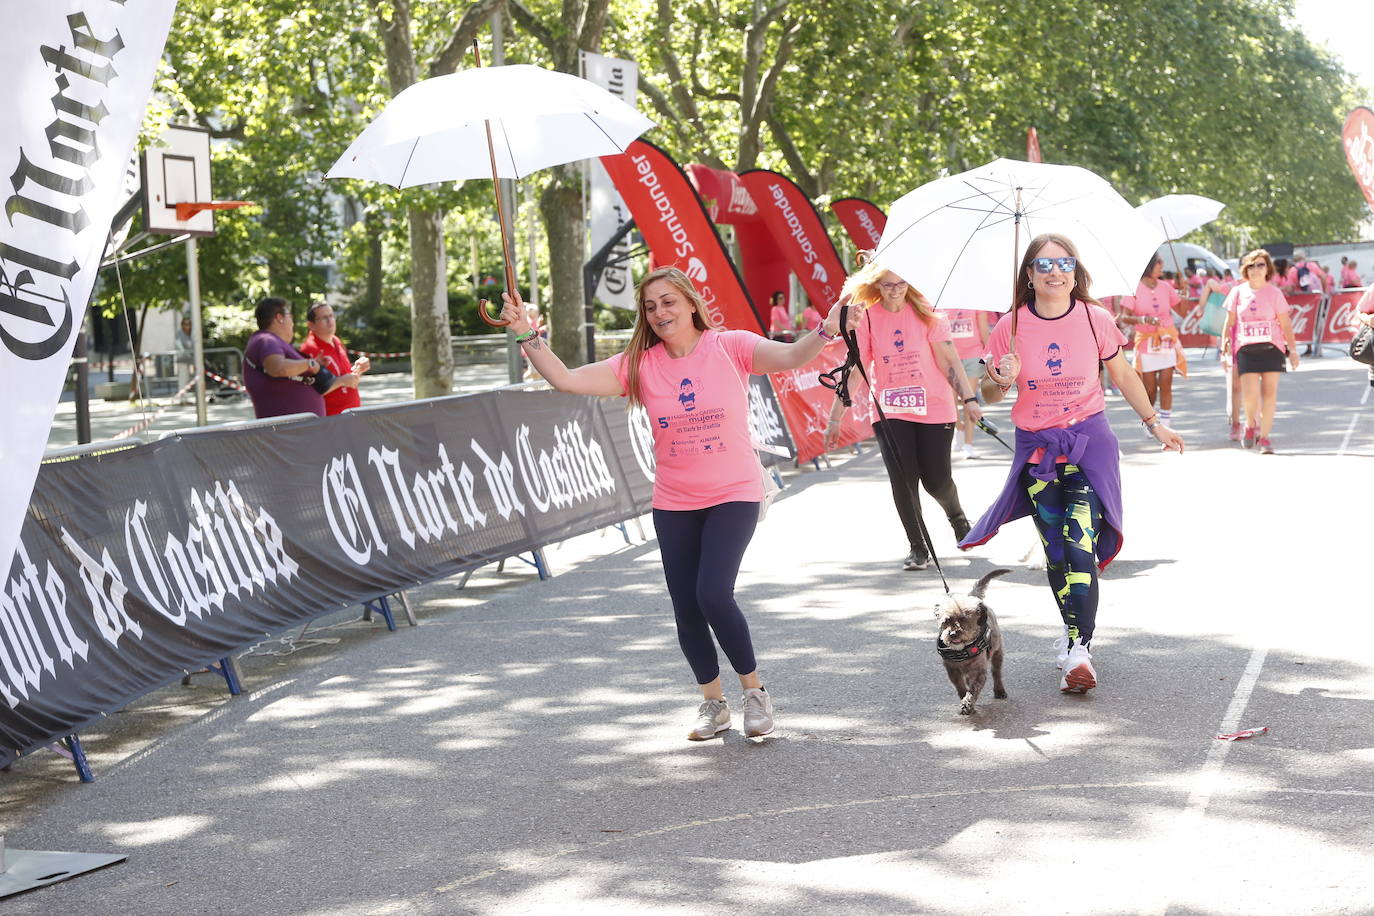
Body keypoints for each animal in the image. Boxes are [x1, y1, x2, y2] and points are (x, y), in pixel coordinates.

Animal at [934, 565, 1011, 714]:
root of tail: (974, 597)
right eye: (946, 621)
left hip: (998, 652)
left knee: (996, 672)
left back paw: (999, 690)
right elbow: (960, 686)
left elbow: (974, 689)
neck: (961, 651)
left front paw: (968, 704)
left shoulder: (978, 671)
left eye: (964, 620)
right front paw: (964, 698)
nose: (953, 633)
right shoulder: (952, 670)